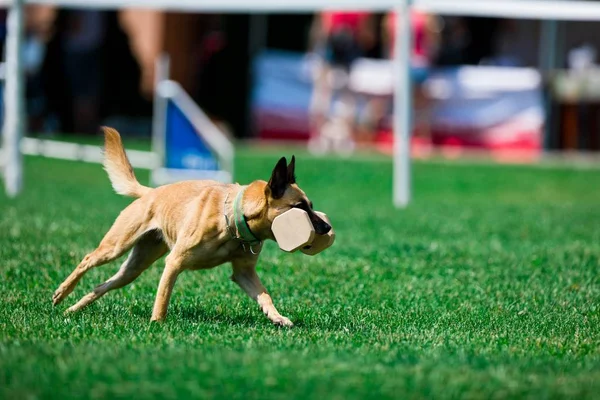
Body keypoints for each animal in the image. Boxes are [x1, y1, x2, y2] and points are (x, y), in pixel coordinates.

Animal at [52, 126, 330, 326]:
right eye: (300, 207)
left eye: (311, 205)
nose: (327, 229)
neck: (233, 221)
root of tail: (150, 193)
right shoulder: (174, 263)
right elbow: (163, 297)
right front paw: (156, 325)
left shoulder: (244, 272)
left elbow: (265, 296)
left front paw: (277, 317)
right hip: (116, 246)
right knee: (88, 259)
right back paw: (61, 293)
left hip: (134, 267)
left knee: (102, 286)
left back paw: (71, 310)